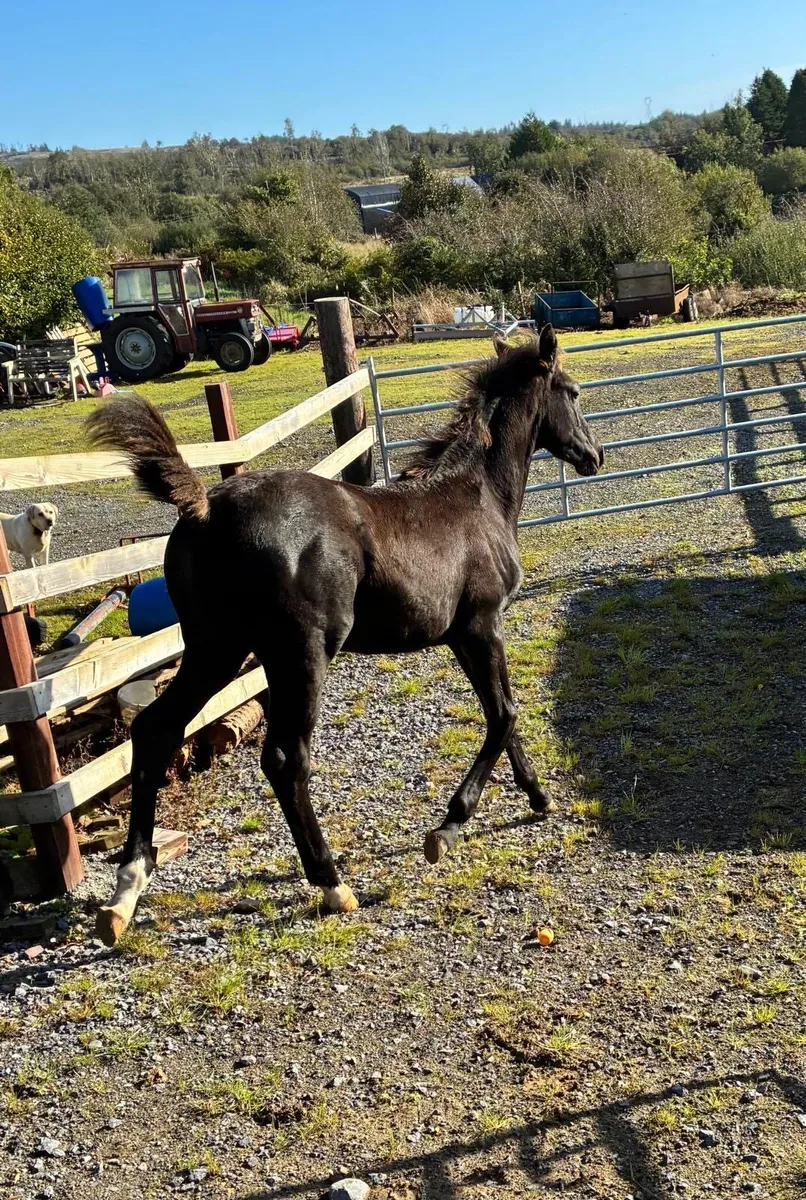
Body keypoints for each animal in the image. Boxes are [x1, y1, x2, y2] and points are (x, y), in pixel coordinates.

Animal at [87, 325, 603, 946]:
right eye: (573, 393)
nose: (595, 455)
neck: (475, 497)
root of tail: (206, 508)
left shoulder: (463, 635)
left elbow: (504, 716)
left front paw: (538, 795)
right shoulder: (482, 626)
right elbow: (503, 715)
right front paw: (448, 828)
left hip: (216, 648)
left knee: (154, 730)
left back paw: (125, 892)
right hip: (299, 655)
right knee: (285, 759)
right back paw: (333, 883)